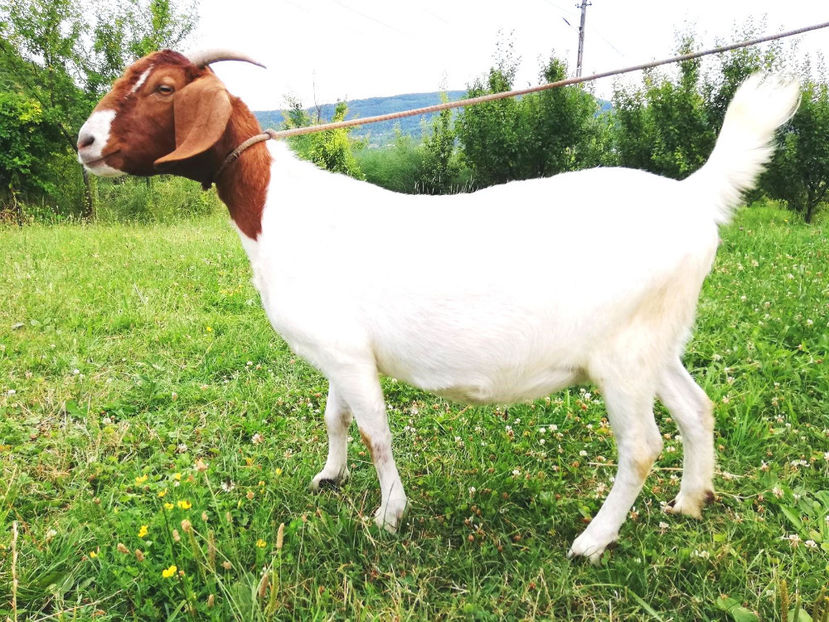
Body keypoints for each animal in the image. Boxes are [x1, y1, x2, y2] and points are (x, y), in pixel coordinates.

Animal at [77, 49, 800, 562]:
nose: (84, 142)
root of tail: (693, 196)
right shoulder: (341, 351)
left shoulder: (345, 354)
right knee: (696, 408)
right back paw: (689, 503)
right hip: (655, 340)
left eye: (163, 88)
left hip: (622, 358)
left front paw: (388, 516)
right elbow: (336, 417)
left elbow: (375, 432)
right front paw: (329, 478)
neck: (278, 211)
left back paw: (592, 542)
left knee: (642, 446)